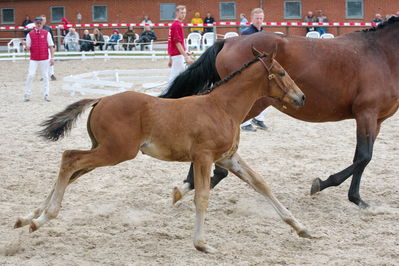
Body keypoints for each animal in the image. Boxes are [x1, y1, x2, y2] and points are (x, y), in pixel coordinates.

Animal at [14, 47, 310, 254]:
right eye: (281, 73)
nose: (301, 97)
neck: (222, 107)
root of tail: (100, 99)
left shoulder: (228, 157)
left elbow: (261, 184)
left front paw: (301, 228)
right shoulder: (204, 157)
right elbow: (202, 197)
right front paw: (202, 244)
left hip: (104, 150)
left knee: (71, 170)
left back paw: (30, 217)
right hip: (115, 152)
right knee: (69, 159)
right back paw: (43, 217)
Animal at [162, 16, 399, 209]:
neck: (381, 55)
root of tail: (229, 41)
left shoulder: (376, 120)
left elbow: (362, 157)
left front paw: (356, 197)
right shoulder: (366, 114)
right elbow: (364, 156)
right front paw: (321, 184)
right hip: (247, 104)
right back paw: (197, 181)